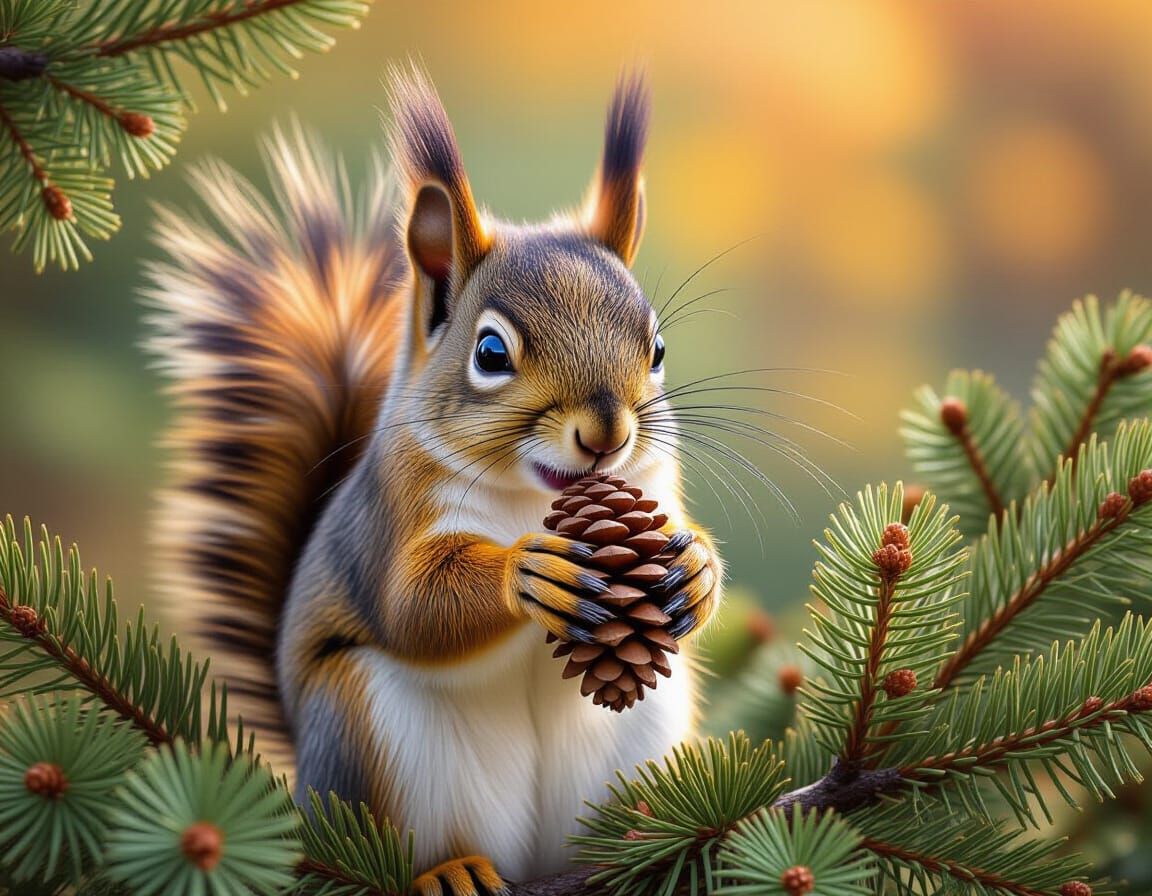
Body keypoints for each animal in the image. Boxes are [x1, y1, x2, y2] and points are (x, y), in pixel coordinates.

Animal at [148, 68, 723, 895]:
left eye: (657, 349)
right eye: (490, 352)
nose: (606, 433)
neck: (537, 498)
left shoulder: (653, 483)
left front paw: (698, 566)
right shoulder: (390, 518)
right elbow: (414, 604)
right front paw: (527, 572)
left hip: (645, 728)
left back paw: (640, 836)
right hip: (368, 734)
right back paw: (447, 870)